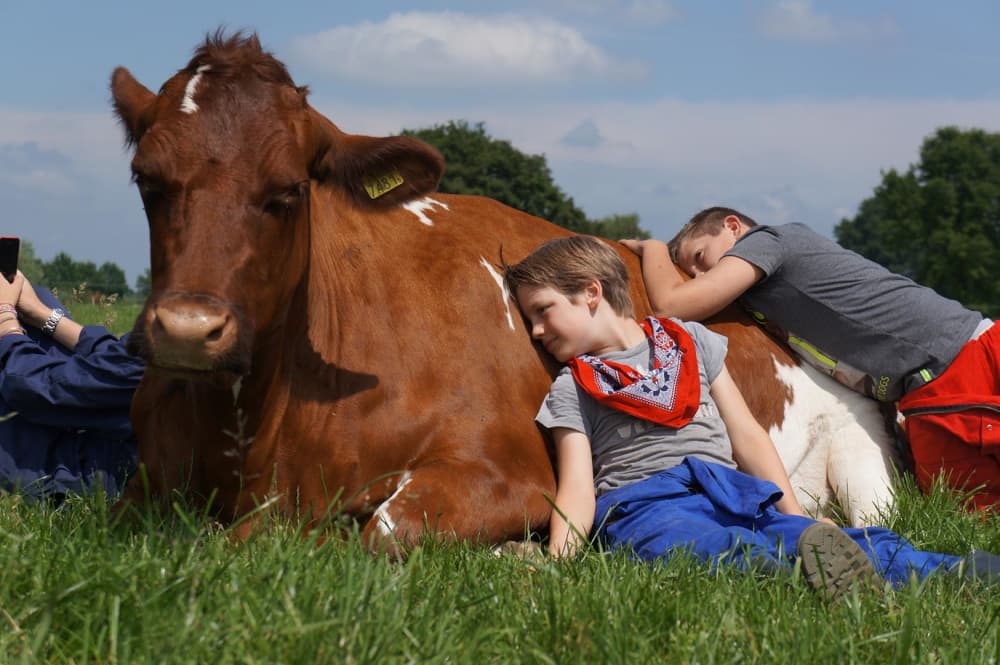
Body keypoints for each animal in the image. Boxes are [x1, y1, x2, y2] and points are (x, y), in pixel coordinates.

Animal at [113, 32, 896, 548]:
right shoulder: (137, 489)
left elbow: (383, 531)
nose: (188, 329)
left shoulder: (514, 474)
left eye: (287, 192)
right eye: (146, 181)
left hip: (865, 468)